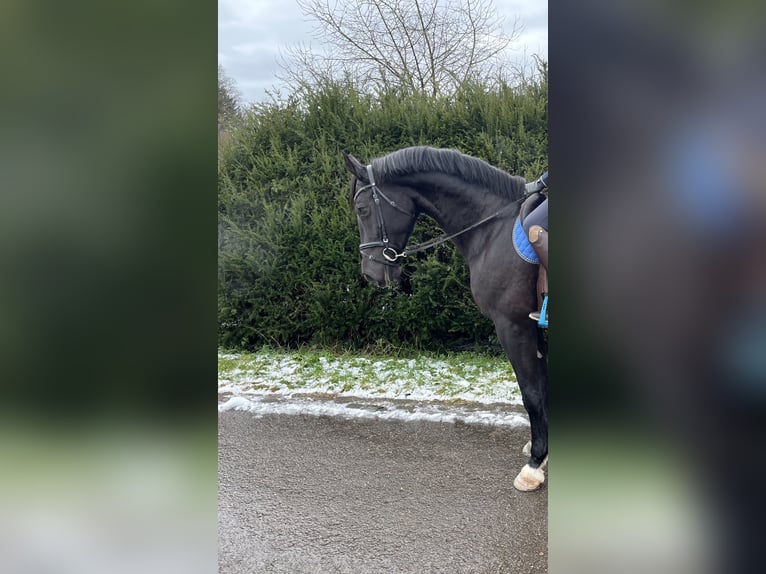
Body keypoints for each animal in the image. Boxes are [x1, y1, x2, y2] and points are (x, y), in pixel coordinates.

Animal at [344, 146, 548, 492]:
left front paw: (534, 464)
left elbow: (532, 394)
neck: (492, 228)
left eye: (362, 209)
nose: (371, 274)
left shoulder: (514, 327)